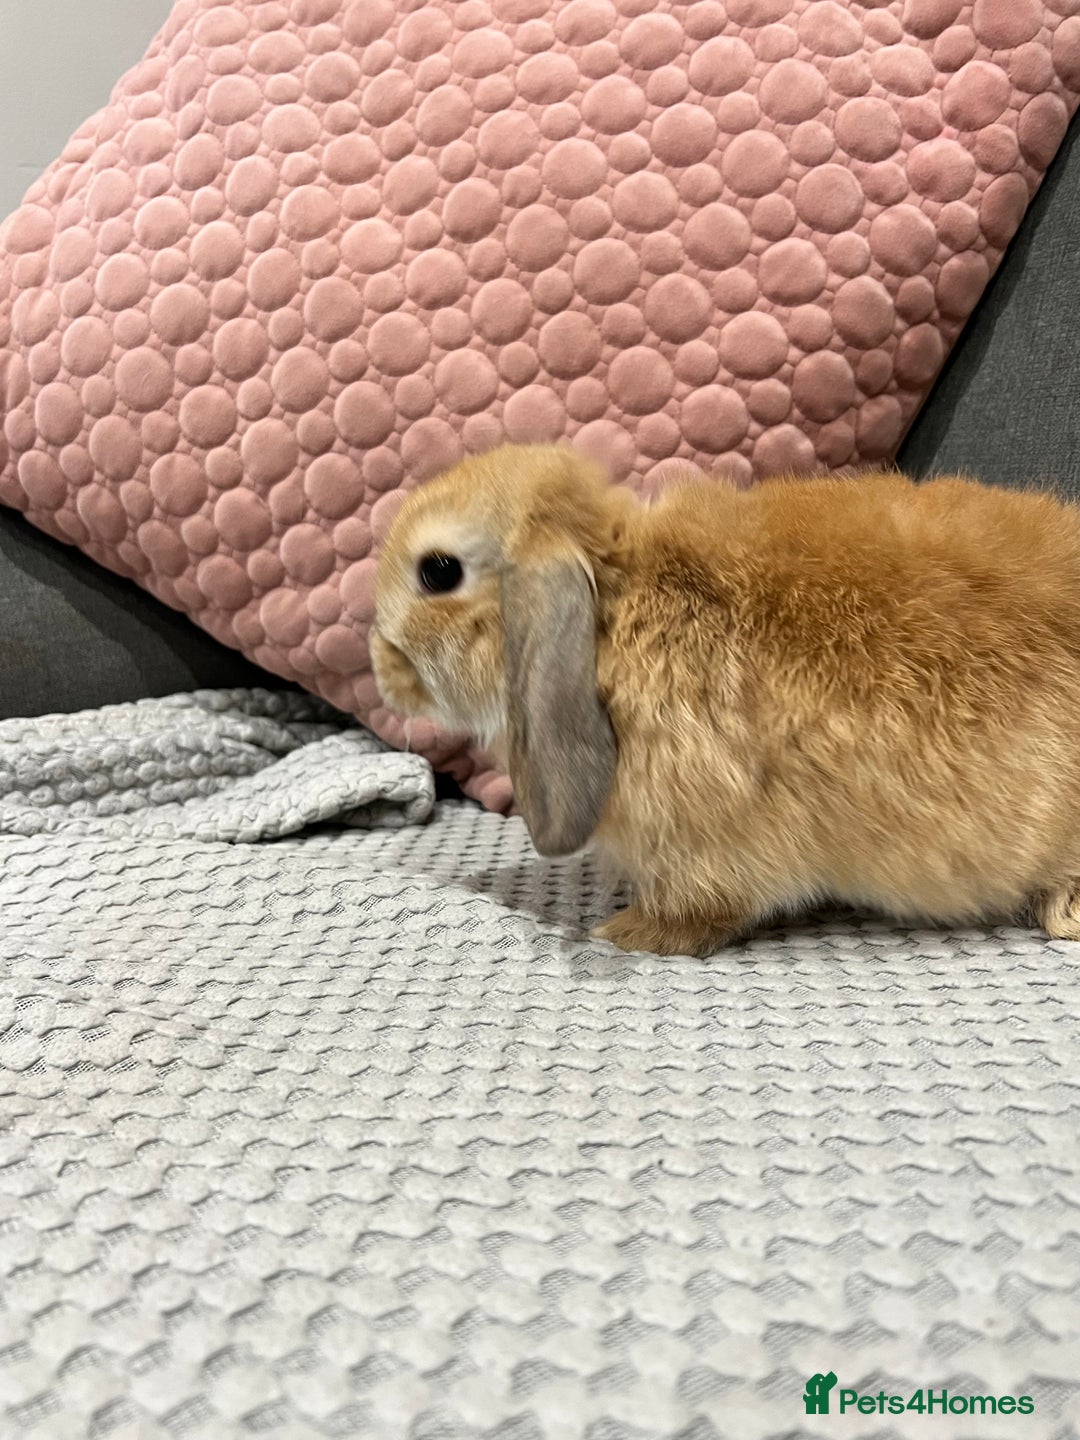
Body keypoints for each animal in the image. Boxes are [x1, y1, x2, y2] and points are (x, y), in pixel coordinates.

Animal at [371, 441, 1080, 956]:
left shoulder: (705, 845)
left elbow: (701, 912)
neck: (615, 614)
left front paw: (626, 934)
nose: (380, 664)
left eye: (438, 571)